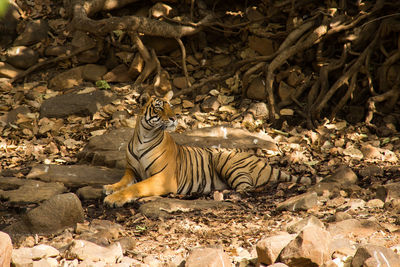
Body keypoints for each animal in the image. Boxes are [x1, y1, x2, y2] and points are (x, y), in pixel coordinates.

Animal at [104, 90, 312, 207]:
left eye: (170, 106)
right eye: (159, 108)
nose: (174, 118)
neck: (144, 136)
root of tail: (262, 161)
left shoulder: (163, 178)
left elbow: (137, 187)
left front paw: (113, 199)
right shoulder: (131, 170)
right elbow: (124, 182)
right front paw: (110, 188)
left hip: (226, 160)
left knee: (247, 188)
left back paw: (223, 194)